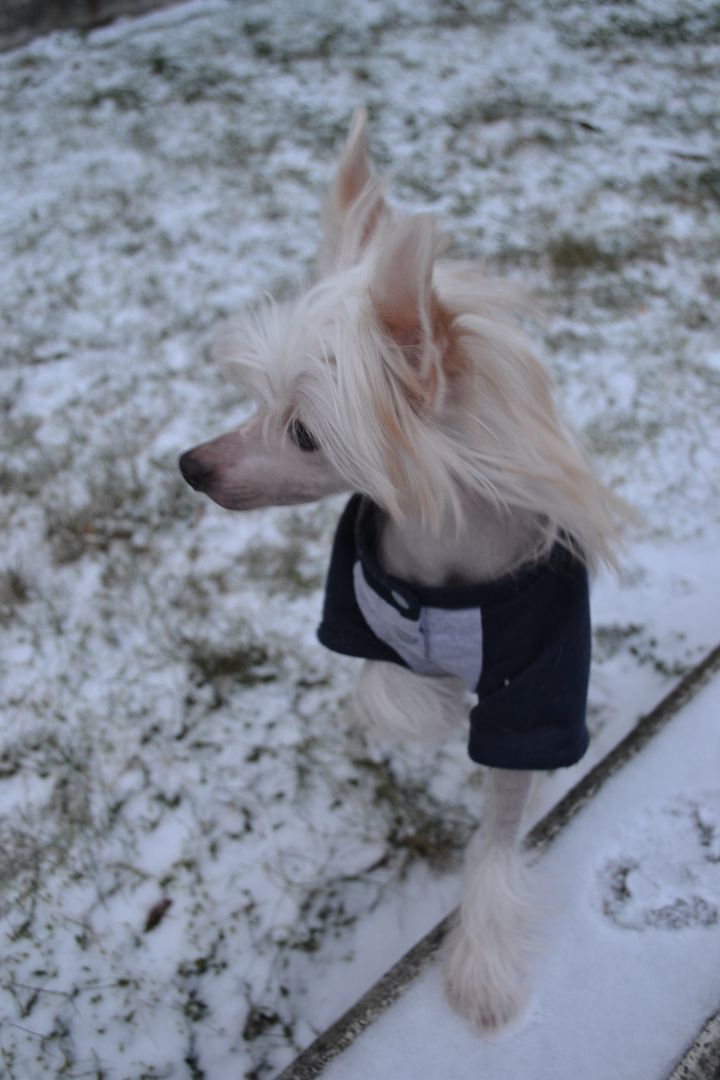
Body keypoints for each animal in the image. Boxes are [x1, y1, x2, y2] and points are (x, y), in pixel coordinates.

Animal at [177, 107, 621, 1028]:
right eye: (255, 401)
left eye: (304, 433)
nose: (191, 466)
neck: (442, 569)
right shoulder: (355, 597)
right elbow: (385, 684)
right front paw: (432, 703)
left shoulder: (539, 685)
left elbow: (502, 822)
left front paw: (481, 957)